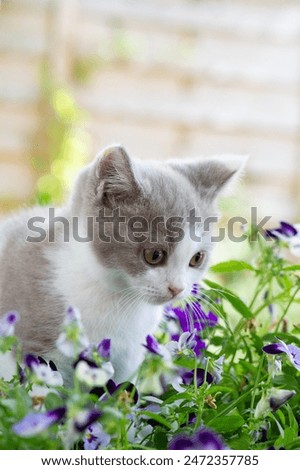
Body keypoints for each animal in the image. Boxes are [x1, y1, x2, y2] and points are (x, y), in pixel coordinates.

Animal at [0, 146, 245, 382]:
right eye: (154, 255)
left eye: (197, 258)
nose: (177, 289)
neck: (118, 299)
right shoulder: (38, 351)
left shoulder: (128, 359)